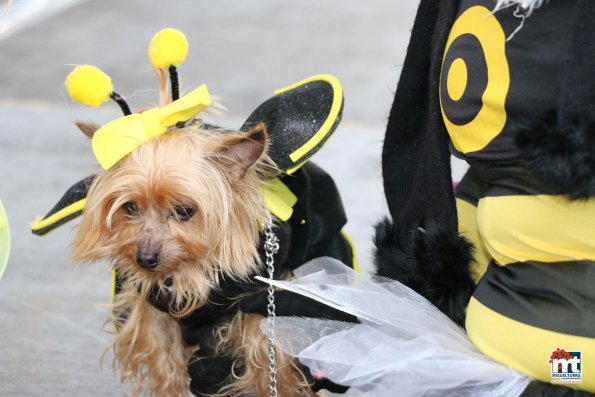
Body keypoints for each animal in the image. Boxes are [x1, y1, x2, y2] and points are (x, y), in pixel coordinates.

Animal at [71, 122, 316, 394]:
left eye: (184, 210)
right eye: (130, 207)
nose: (145, 259)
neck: (191, 271)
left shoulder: (260, 308)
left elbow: (270, 369)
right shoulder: (155, 318)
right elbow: (164, 367)